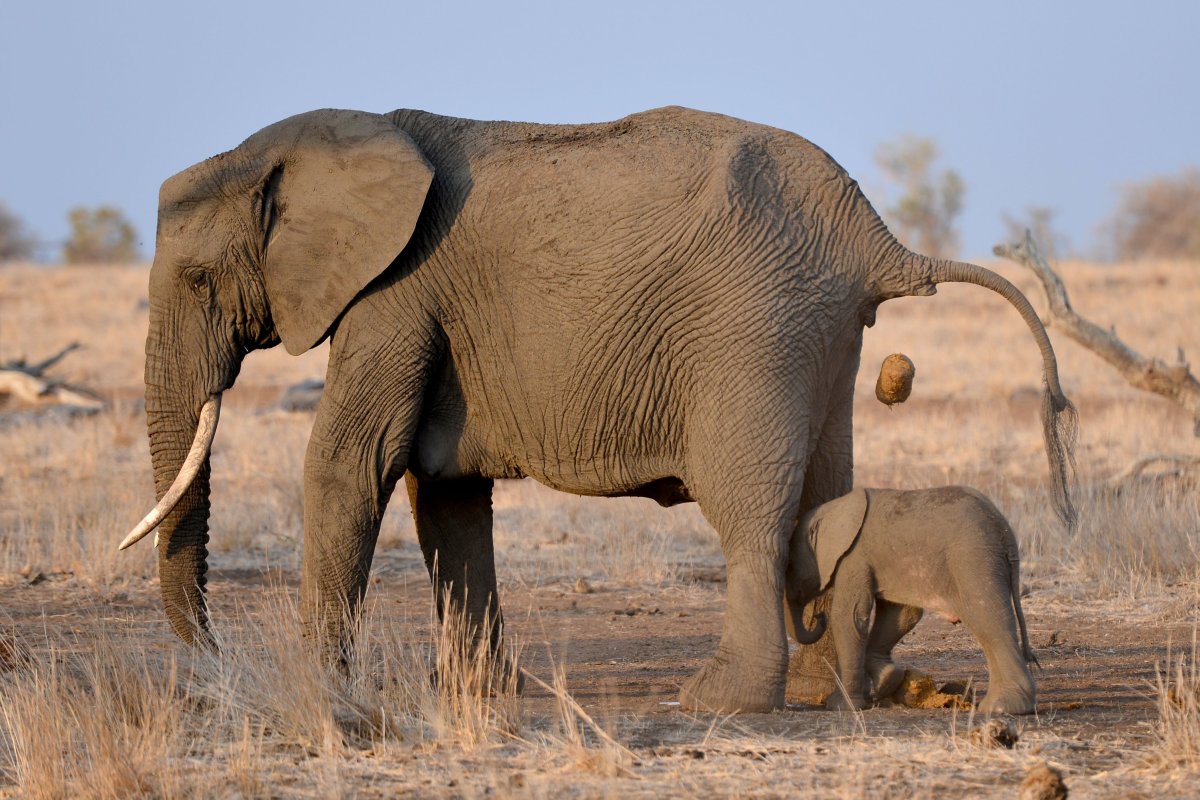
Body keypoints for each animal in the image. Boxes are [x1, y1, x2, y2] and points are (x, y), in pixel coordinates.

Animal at [786, 486, 1039, 715]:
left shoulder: (853, 558)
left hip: (973, 561)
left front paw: (841, 707)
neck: (833, 509)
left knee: (988, 622)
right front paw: (888, 680)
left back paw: (1003, 708)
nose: (818, 616)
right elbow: (901, 615)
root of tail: (1005, 532)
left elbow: (849, 617)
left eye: (790, 566)